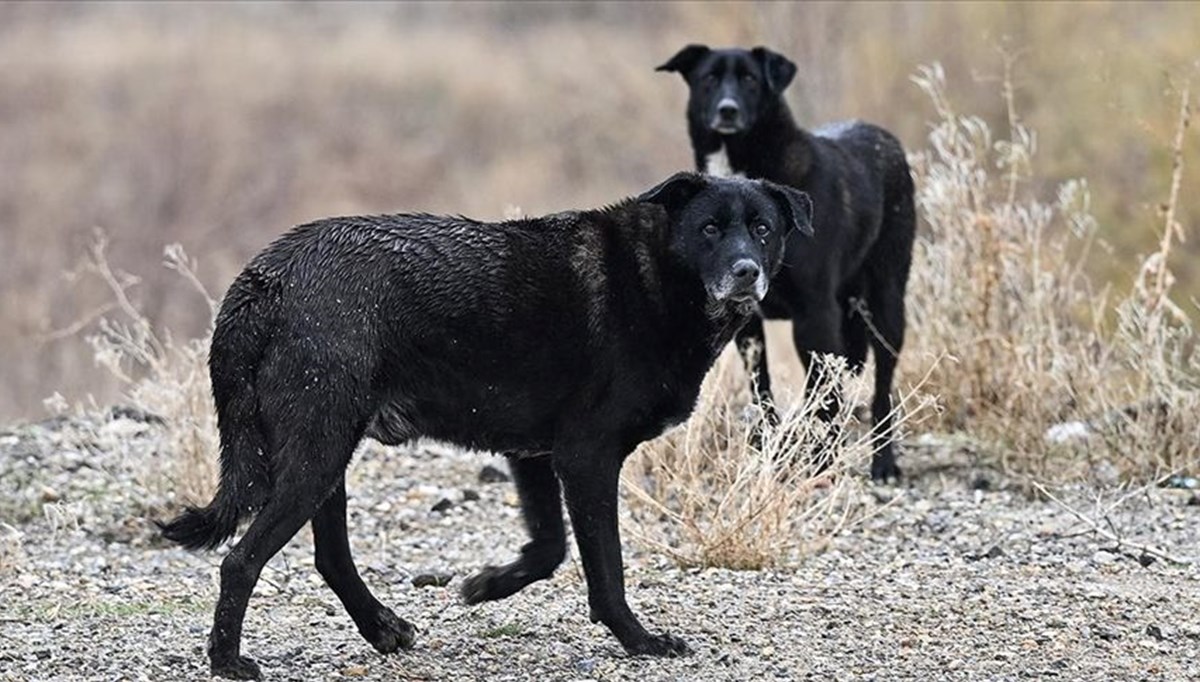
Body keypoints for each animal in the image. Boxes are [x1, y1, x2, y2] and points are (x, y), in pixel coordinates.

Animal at [159, 171, 811, 677]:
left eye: (763, 229)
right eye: (709, 229)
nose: (746, 271)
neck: (654, 277)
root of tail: (264, 278)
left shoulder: (536, 455)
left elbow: (549, 548)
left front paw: (489, 584)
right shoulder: (587, 456)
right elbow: (607, 567)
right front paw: (640, 640)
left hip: (324, 455)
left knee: (330, 558)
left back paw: (382, 629)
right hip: (316, 454)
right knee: (241, 561)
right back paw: (227, 661)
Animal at [662, 43, 912, 480]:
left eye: (750, 79)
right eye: (709, 78)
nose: (727, 110)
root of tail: (884, 137)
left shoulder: (815, 315)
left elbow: (824, 393)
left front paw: (823, 460)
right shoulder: (749, 325)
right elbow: (762, 389)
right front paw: (770, 449)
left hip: (887, 304)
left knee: (882, 386)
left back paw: (883, 462)